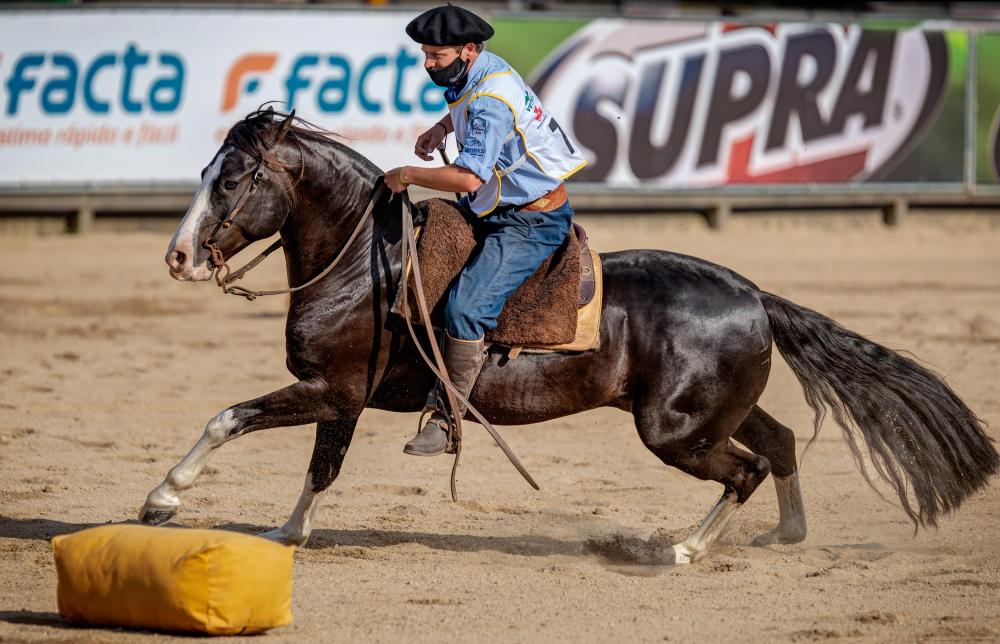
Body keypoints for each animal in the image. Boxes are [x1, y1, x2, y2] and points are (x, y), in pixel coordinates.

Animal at [141, 109, 998, 564]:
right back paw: (784, 534)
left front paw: (163, 500)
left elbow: (229, 418)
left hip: (673, 431)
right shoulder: (343, 398)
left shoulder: (330, 388)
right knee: (780, 443)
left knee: (746, 469)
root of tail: (754, 294)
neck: (368, 263)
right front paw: (286, 534)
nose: (177, 256)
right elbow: (321, 468)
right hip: (708, 411)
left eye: (232, 178)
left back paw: (682, 550)